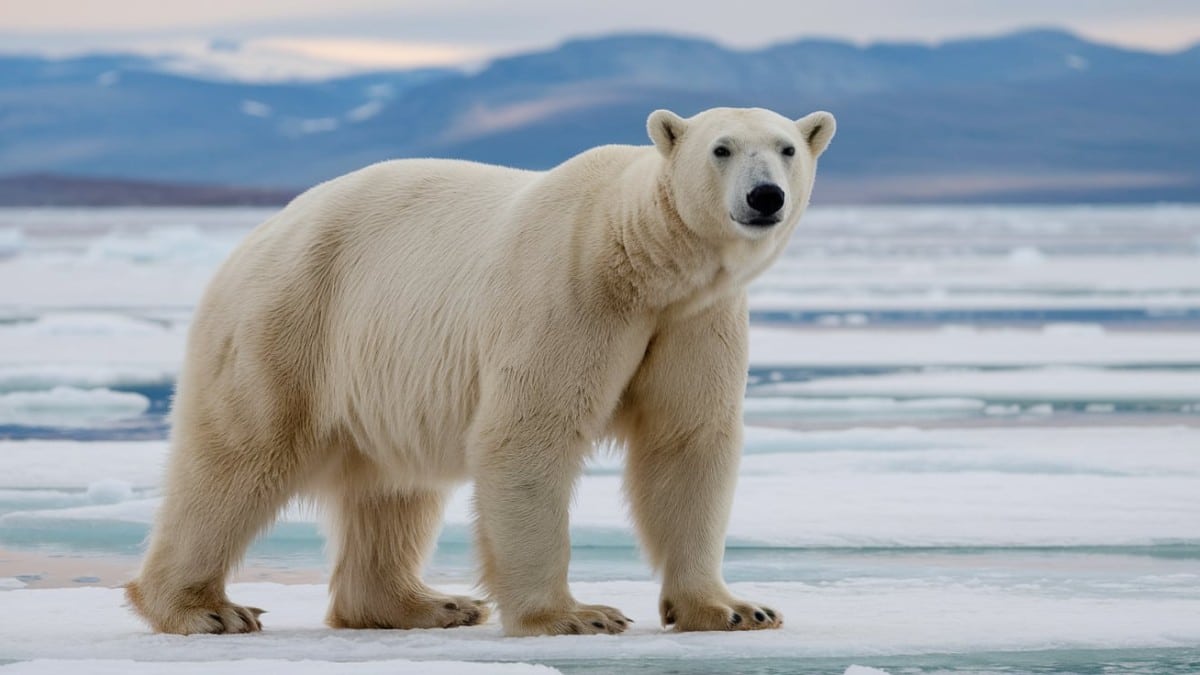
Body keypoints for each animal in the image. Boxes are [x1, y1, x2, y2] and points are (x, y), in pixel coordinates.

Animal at [124, 106, 835, 634]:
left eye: (786, 148)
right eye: (721, 149)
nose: (764, 195)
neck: (641, 256)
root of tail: (257, 236)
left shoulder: (695, 318)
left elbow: (686, 441)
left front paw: (734, 608)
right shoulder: (570, 296)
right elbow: (530, 435)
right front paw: (575, 615)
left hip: (381, 368)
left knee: (393, 490)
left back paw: (427, 603)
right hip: (292, 324)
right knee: (236, 461)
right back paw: (204, 608)